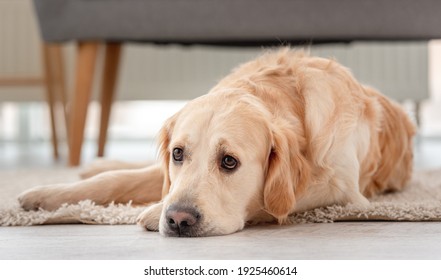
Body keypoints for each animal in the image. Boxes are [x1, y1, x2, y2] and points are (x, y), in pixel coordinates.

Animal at [18, 48, 416, 236]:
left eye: (229, 161)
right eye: (178, 153)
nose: (177, 219)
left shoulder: (345, 192)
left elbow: (275, 200)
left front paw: (150, 211)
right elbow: (116, 181)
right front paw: (45, 195)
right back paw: (95, 165)